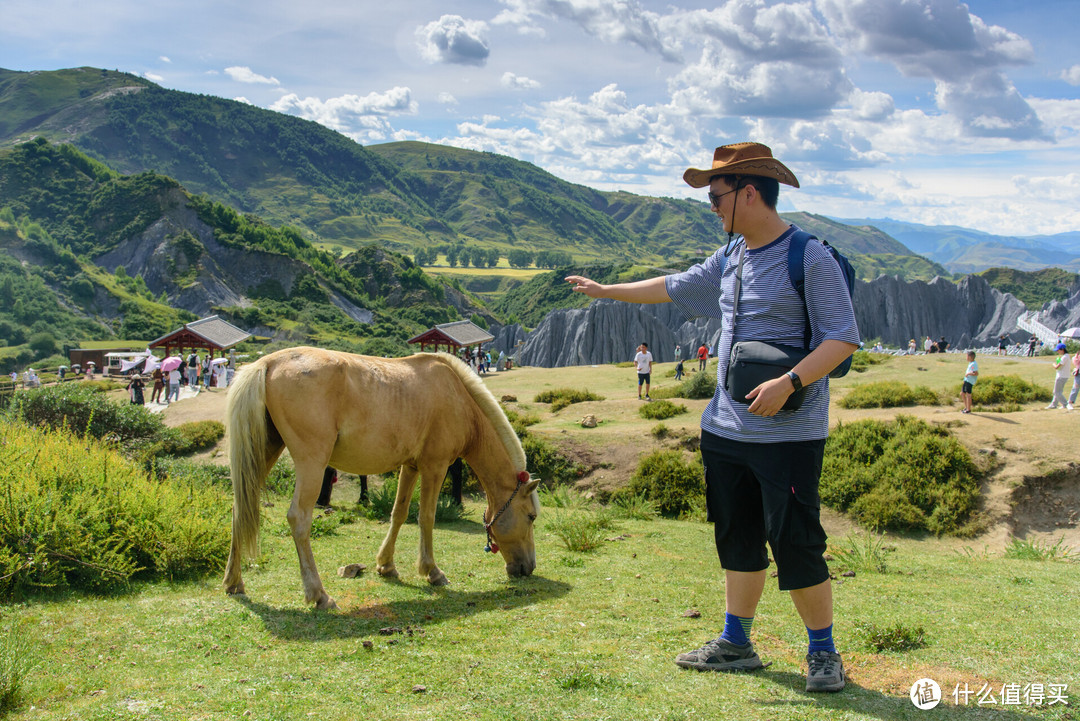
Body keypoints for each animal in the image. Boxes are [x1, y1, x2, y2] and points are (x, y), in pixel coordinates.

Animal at [221, 347, 540, 608]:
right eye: (532, 516)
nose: (529, 568)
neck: (458, 397)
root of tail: (267, 363)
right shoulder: (434, 467)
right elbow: (427, 517)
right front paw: (431, 571)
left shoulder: (410, 467)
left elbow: (399, 513)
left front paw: (386, 565)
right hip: (312, 462)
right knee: (298, 519)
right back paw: (318, 594)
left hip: (264, 453)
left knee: (239, 510)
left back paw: (234, 582)